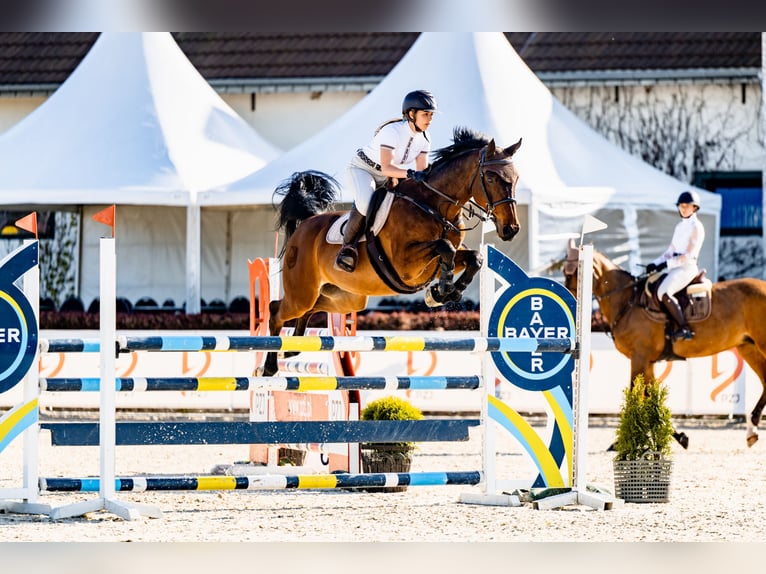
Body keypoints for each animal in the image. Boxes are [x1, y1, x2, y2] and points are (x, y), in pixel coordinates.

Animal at [262, 126, 520, 378]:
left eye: (516, 178)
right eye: (491, 178)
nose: (511, 229)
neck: (435, 206)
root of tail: (306, 223)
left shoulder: (437, 262)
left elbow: (474, 258)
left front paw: (446, 292)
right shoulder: (406, 265)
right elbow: (444, 247)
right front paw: (442, 291)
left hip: (345, 298)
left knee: (313, 308)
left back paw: (293, 348)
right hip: (303, 293)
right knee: (276, 310)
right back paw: (270, 365)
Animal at [560, 241, 766, 448]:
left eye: (571, 273)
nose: (571, 306)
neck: (627, 301)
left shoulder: (639, 357)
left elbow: (635, 394)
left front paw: (622, 442)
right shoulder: (648, 361)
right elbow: (651, 396)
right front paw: (678, 435)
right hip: (748, 347)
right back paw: (752, 429)